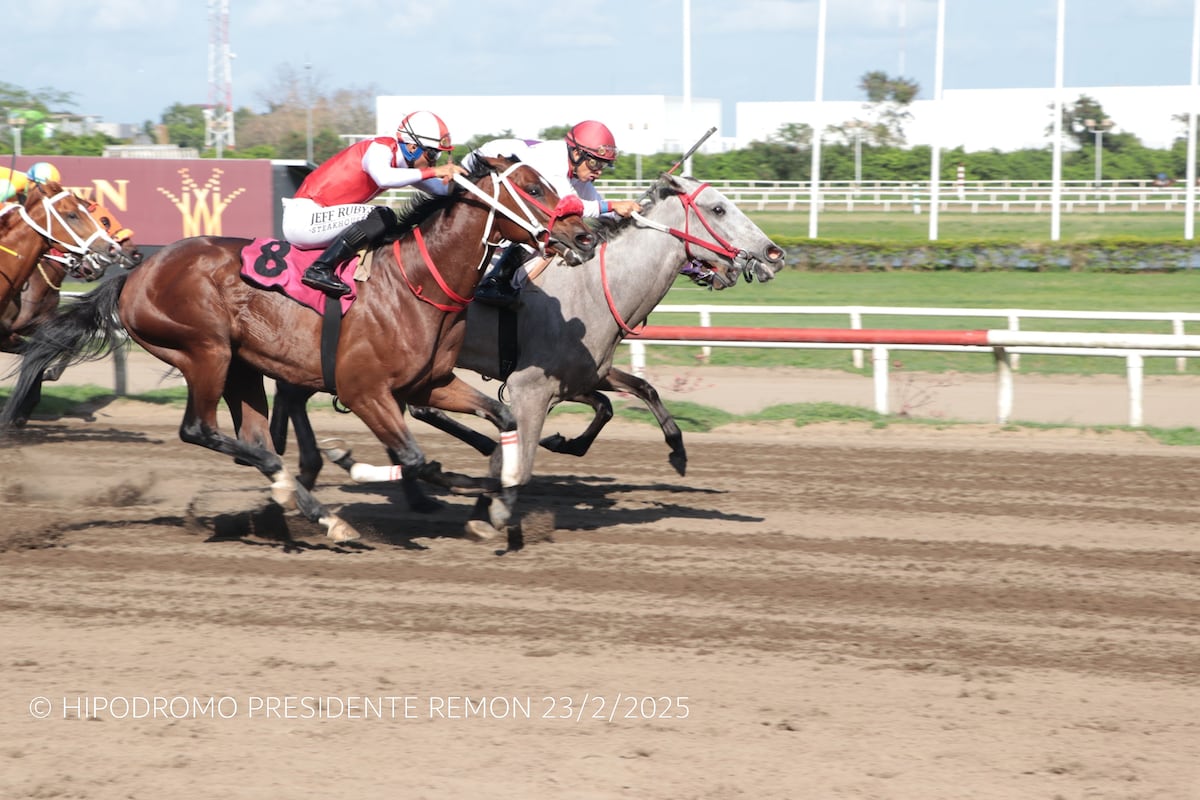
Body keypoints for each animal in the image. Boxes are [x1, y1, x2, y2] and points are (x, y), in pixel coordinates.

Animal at [2, 154, 595, 544]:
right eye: (533, 187)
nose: (586, 235)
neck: (417, 282)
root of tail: (136, 272)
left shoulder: (432, 383)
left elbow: (501, 418)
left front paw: (500, 502)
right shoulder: (364, 390)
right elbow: (416, 459)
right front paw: (358, 463)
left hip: (241, 367)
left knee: (255, 440)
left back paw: (310, 508)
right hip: (205, 351)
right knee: (199, 429)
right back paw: (317, 508)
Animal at [274, 172, 787, 542]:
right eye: (718, 208)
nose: (774, 253)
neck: (594, 287)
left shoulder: (583, 375)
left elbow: (631, 394)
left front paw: (672, 451)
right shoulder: (529, 388)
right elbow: (523, 462)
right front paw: (492, 508)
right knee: (313, 398)